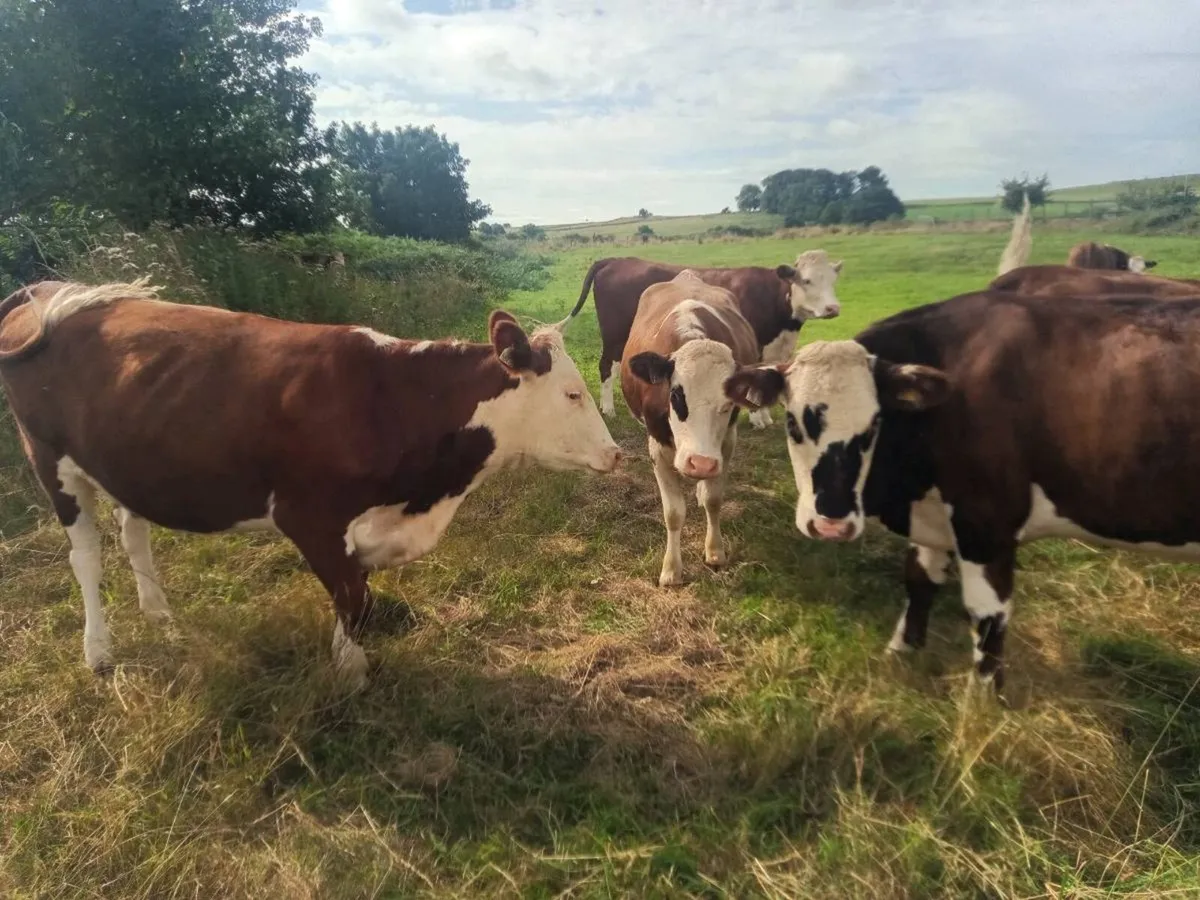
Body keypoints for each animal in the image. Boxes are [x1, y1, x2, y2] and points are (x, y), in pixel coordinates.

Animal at [0, 279, 622, 688]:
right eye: (572, 393)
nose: (616, 453)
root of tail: (46, 292)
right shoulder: (311, 519)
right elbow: (353, 601)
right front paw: (351, 676)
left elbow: (360, 600)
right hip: (48, 459)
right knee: (86, 558)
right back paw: (99, 652)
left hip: (128, 460)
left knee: (134, 532)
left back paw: (160, 617)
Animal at [564, 250, 843, 428]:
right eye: (806, 280)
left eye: (833, 280)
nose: (833, 308)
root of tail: (615, 259)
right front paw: (757, 419)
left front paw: (763, 417)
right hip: (614, 336)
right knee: (606, 365)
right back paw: (608, 408)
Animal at [620, 270, 760, 587]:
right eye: (675, 395)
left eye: (729, 403)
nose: (701, 463)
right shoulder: (657, 447)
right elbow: (673, 513)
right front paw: (672, 568)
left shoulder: (726, 444)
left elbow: (714, 499)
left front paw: (715, 551)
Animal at [724, 287, 1200, 699]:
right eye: (792, 422)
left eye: (874, 424)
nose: (831, 523)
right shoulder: (934, 516)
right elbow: (919, 580)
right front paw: (901, 652)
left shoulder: (987, 526)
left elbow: (989, 616)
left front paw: (984, 701)